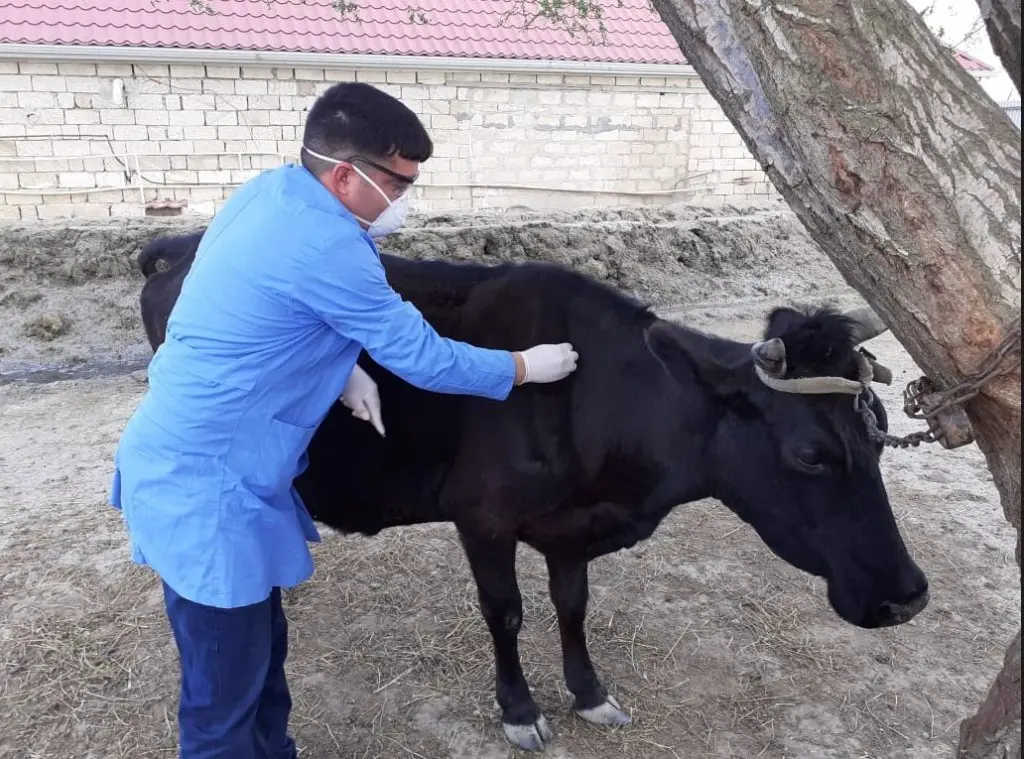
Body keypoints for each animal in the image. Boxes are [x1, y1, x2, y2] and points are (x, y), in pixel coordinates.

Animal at [134, 230, 929, 753]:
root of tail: (182, 239)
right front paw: (519, 710)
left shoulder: (569, 528)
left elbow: (573, 606)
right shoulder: (481, 518)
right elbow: (507, 612)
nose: (908, 597)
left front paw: (591, 693)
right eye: (809, 454)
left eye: (882, 430)